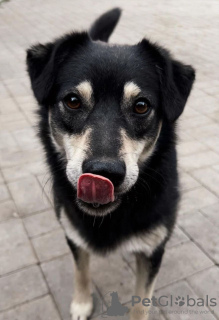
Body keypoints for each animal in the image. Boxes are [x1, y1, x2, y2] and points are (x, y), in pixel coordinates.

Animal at [26, 7, 195, 320]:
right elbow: (81, 270)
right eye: (73, 101)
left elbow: (142, 300)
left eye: (141, 106)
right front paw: (81, 303)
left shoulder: (153, 248)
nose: (104, 173)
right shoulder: (73, 232)